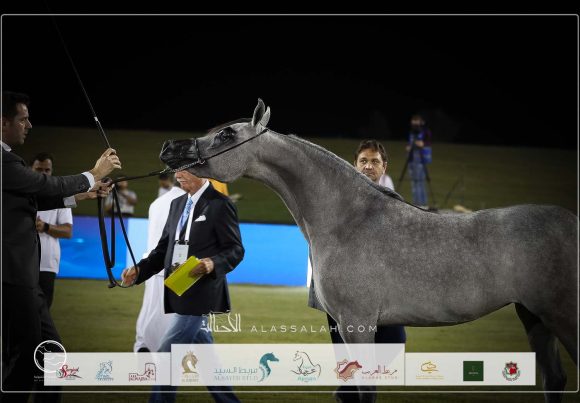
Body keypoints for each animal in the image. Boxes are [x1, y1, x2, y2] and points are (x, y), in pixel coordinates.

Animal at [159, 99, 578, 402]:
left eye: (226, 134)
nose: (169, 147)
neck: (349, 219)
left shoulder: (356, 324)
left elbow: (365, 388)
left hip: (561, 316)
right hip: (533, 316)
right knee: (554, 379)